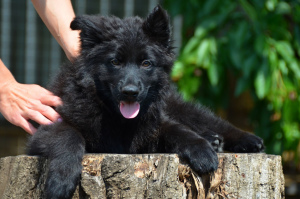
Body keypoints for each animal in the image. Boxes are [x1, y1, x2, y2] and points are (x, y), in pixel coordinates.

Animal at [27, 5, 262, 198]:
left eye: (146, 63)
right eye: (115, 62)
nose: (130, 92)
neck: (117, 118)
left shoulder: (154, 126)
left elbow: (178, 130)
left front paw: (202, 151)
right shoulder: (47, 128)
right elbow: (69, 136)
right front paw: (61, 180)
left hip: (179, 108)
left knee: (208, 121)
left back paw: (244, 139)